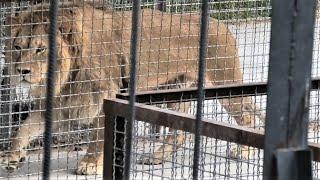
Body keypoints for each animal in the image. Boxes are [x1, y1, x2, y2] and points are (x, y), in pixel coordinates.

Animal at [0, 2, 262, 175]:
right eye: (17, 47)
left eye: (40, 49)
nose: (22, 71)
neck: (65, 74)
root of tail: (221, 24)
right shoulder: (59, 102)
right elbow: (23, 130)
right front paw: (11, 157)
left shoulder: (103, 96)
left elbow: (99, 135)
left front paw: (91, 163)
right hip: (173, 90)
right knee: (179, 132)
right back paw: (156, 157)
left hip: (226, 85)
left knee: (248, 118)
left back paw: (245, 152)